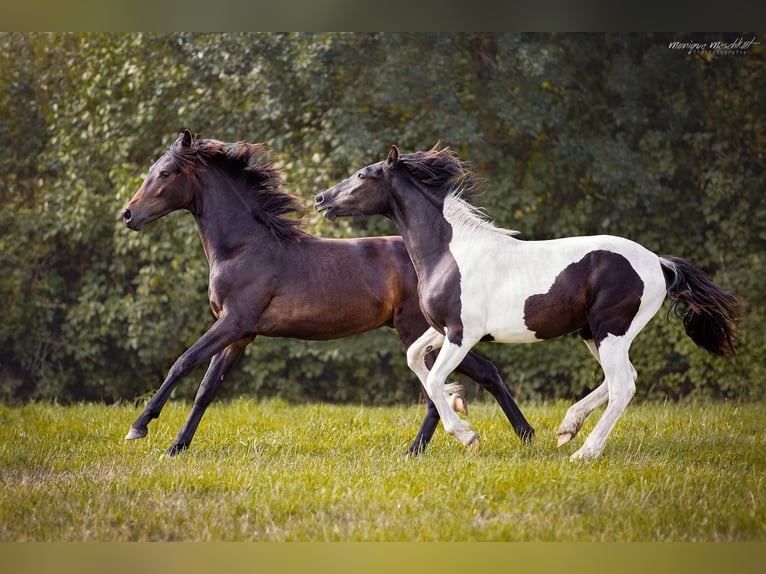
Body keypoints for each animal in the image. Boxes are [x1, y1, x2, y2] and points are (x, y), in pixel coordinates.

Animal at [120, 131, 533, 456]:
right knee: (479, 373)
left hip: (417, 329)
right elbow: (207, 389)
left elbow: (182, 363)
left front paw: (139, 427)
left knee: (442, 385)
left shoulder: (234, 322)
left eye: (165, 172)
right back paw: (514, 435)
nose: (127, 215)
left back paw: (434, 446)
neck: (244, 247)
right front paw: (176, 446)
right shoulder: (240, 334)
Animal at [315, 144, 742, 460]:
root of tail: (658, 262)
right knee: (624, 378)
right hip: (592, 333)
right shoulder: (441, 330)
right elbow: (415, 359)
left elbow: (433, 378)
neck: (451, 253)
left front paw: (467, 434)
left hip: (610, 330)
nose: (321, 199)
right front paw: (458, 402)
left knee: (623, 386)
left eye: (364, 175)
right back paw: (567, 428)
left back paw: (584, 452)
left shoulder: (462, 334)